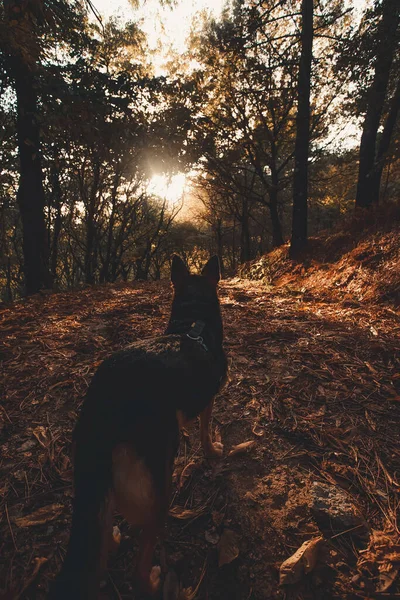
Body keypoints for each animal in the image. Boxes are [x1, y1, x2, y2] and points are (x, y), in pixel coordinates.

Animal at [48, 255, 227, 596]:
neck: (192, 325)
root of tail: (105, 402)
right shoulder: (208, 400)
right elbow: (204, 431)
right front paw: (212, 450)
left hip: (95, 479)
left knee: (101, 537)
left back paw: (114, 541)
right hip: (158, 490)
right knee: (138, 569)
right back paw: (155, 581)